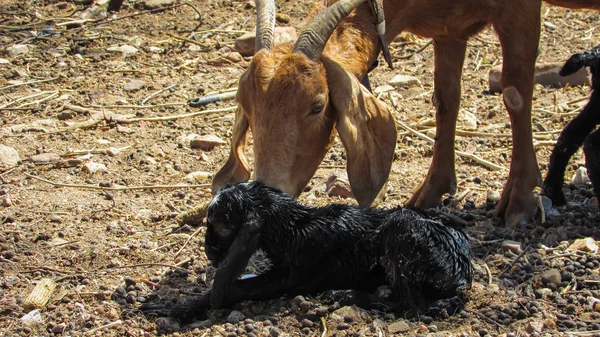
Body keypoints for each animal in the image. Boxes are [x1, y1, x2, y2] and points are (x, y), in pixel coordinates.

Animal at [156, 181, 474, 320]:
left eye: (221, 225)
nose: (210, 254)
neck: (292, 228)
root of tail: (462, 278)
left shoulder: (296, 274)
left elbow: (238, 288)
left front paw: (179, 308)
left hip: (401, 228)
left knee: (411, 304)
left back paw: (345, 295)